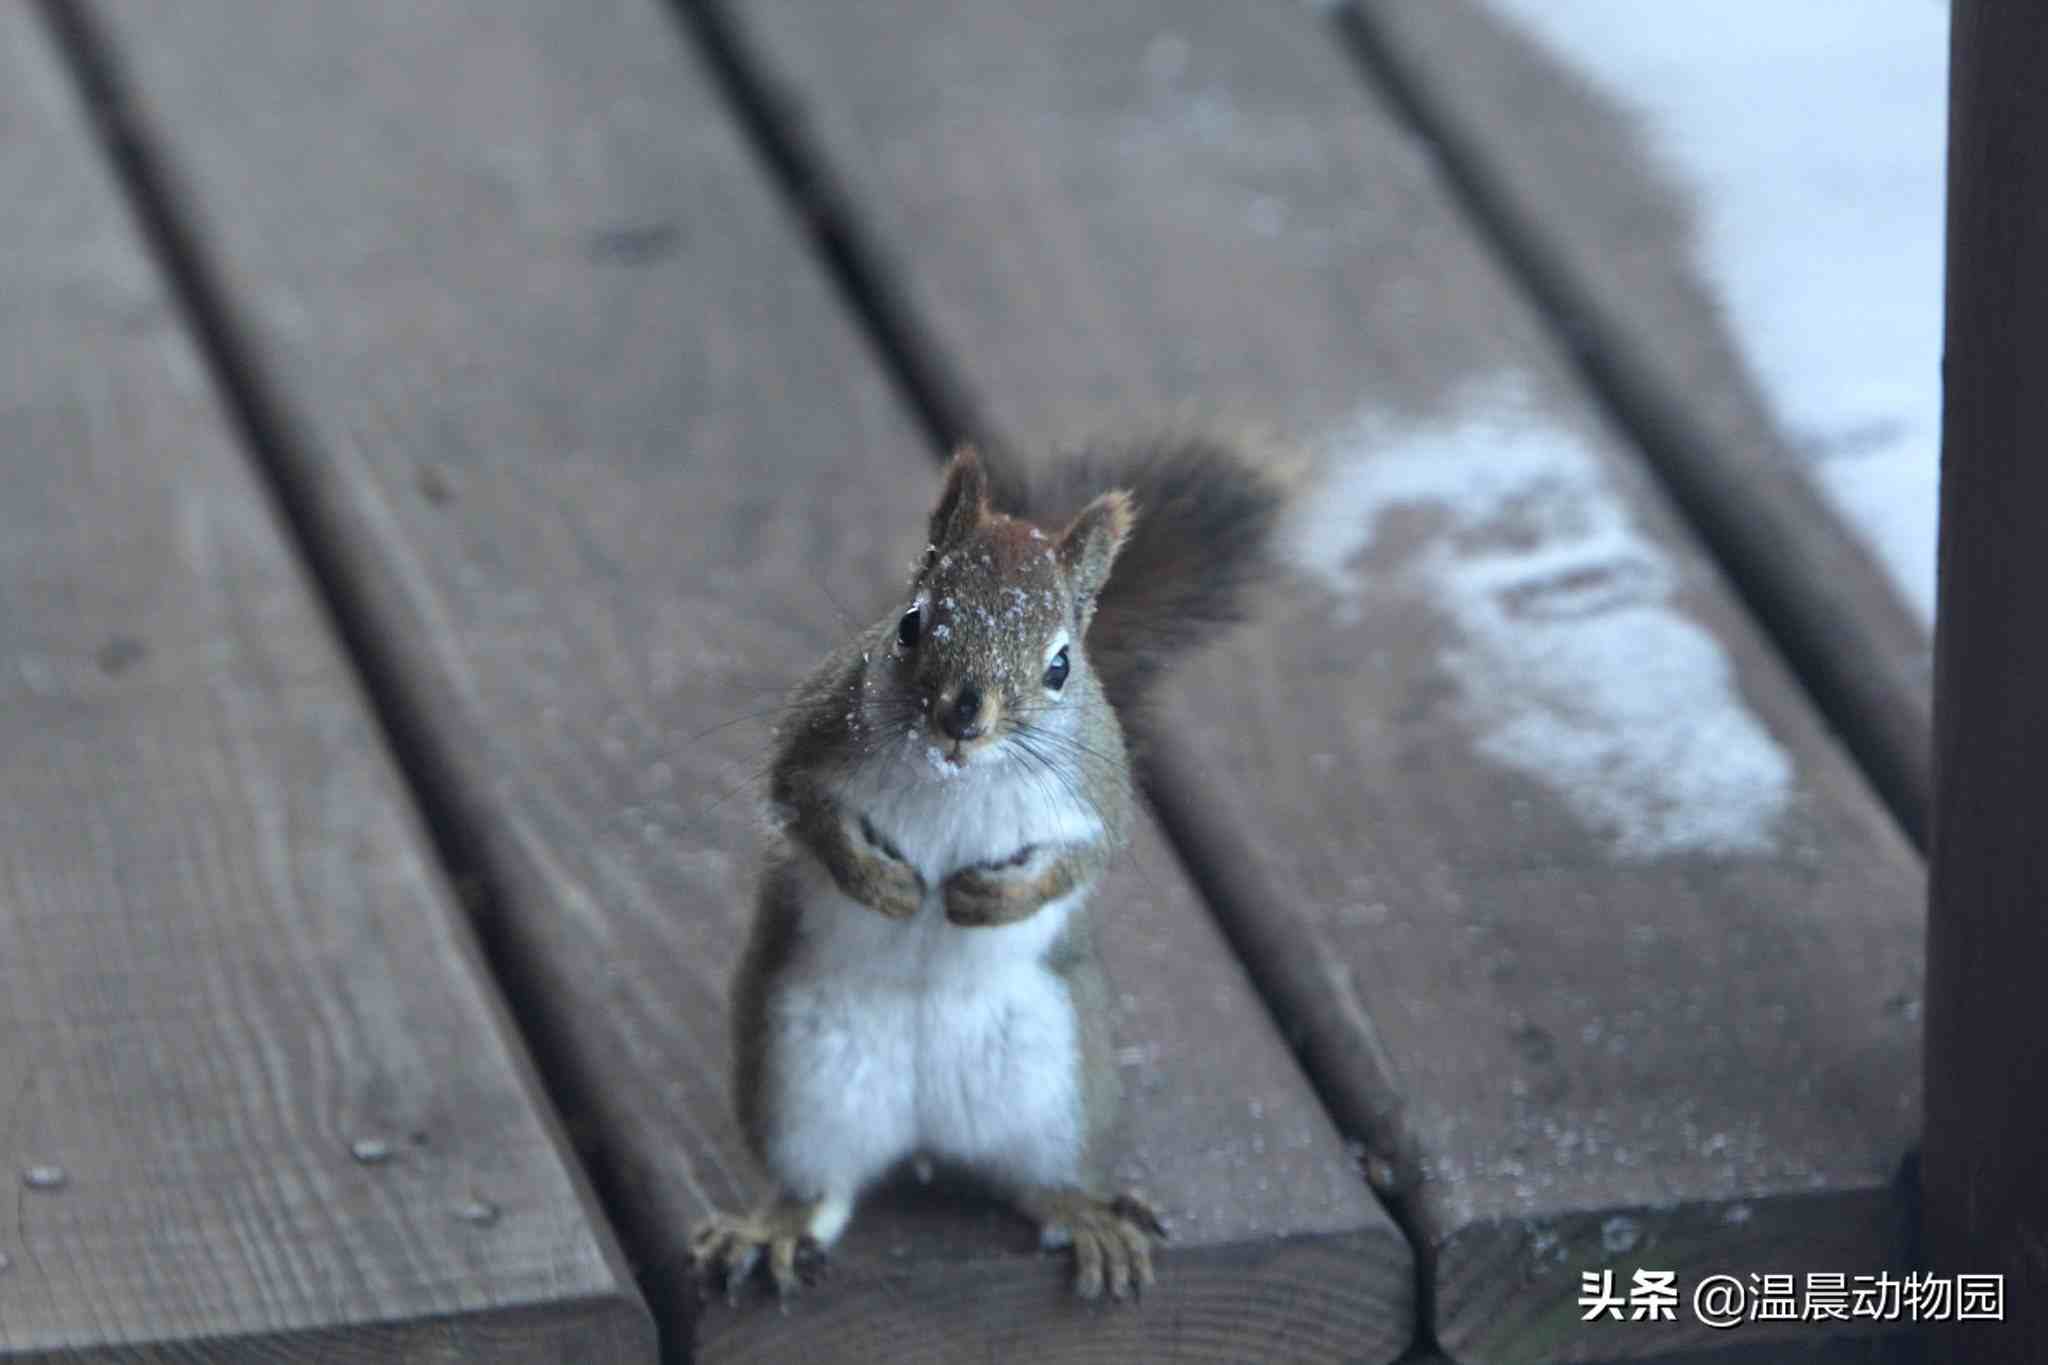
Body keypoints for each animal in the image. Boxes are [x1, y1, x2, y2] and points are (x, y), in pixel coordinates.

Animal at [696, 435, 1286, 1301]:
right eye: (910, 624)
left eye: (1062, 666)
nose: (964, 715)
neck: (958, 776)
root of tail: (925, 1132)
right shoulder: (812, 742)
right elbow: (806, 810)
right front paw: (883, 884)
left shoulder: (1097, 796)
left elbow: (1080, 857)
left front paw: (989, 898)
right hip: (797, 1079)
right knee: (816, 1186)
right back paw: (773, 1226)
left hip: (1058, 1084)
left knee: (1043, 1180)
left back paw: (1086, 1214)